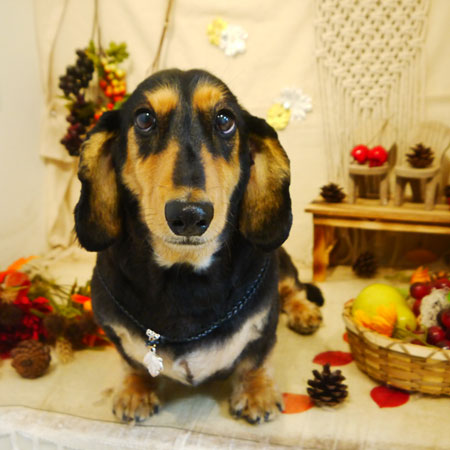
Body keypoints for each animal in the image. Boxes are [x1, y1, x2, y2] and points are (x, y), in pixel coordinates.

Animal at [74, 69, 324, 425]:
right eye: (144, 118)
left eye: (225, 119)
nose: (190, 215)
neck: (184, 270)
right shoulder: (114, 328)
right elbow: (131, 361)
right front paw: (135, 391)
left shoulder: (264, 321)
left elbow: (256, 357)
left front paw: (256, 394)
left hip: (282, 262)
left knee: (293, 288)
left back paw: (304, 312)